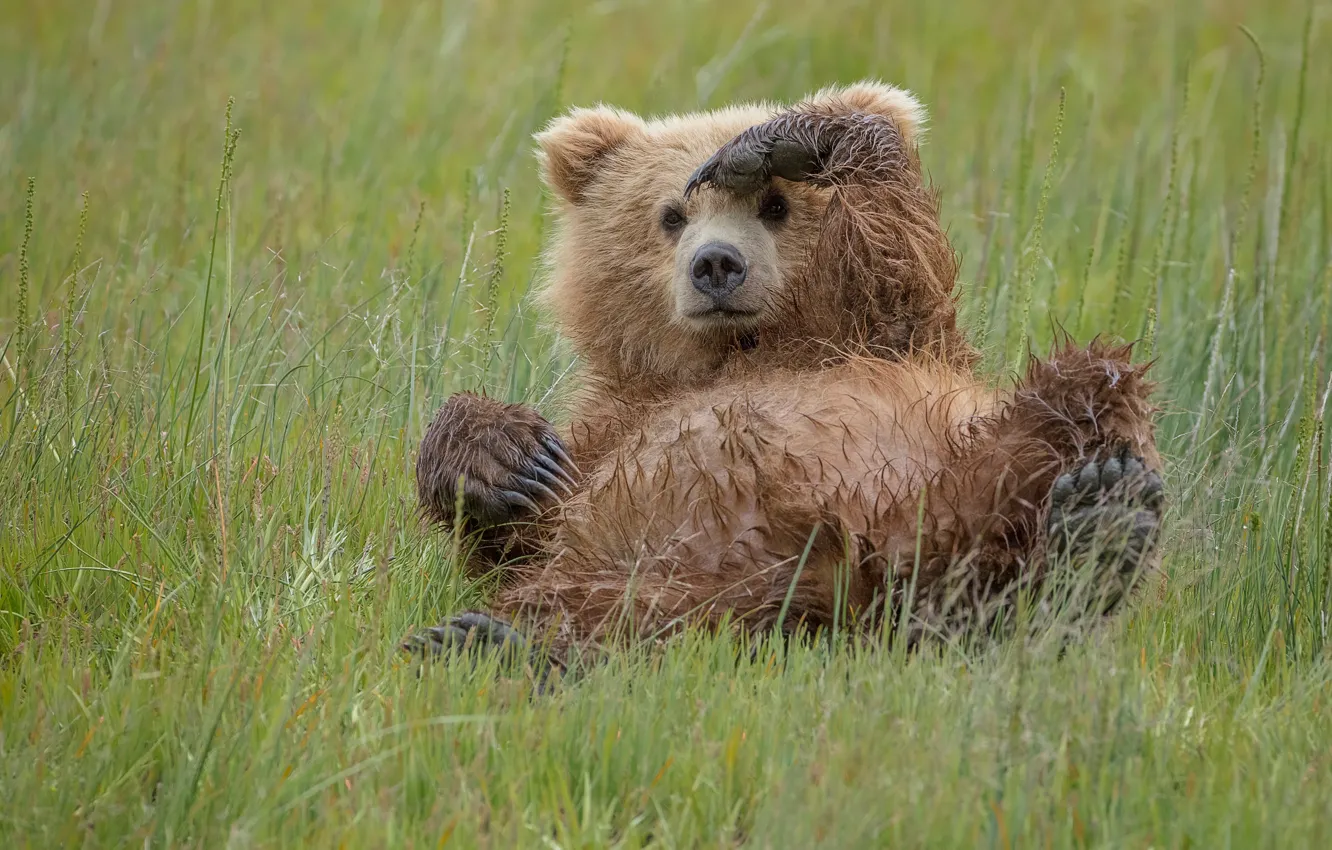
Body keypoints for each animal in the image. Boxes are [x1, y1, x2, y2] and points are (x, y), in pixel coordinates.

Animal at [407, 81, 1164, 678]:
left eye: (775, 206)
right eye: (670, 214)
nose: (716, 264)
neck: (745, 350)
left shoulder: (895, 338)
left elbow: (901, 254)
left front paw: (781, 139)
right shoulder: (615, 420)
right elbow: (522, 529)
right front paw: (508, 458)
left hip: (974, 461)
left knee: (1084, 390)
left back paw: (1100, 521)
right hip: (670, 572)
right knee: (614, 613)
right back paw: (485, 643)